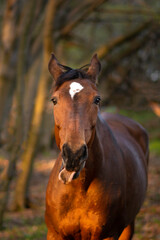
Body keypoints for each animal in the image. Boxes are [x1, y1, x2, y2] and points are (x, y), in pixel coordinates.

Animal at [45, 53, 149, 239]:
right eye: (54, 100)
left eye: (97, 99)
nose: (74, 155)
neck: (80, 188)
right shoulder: (54, 234)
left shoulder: (108, 235)